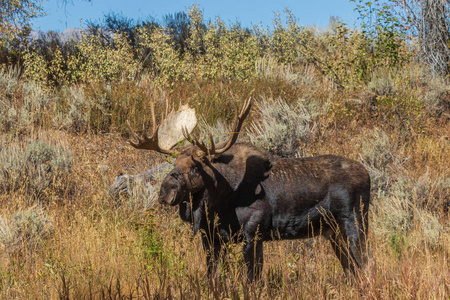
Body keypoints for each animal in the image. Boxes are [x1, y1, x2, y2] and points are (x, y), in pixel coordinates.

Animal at [127, 99, 370, 282]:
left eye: (196, 166)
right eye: (174, 163)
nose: (165, 192)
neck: (217, 204)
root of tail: (368, 175)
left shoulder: (253, 232)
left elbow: (251, 279)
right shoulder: (211, 237)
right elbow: (213, 277)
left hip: (355, 222)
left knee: (364, 264)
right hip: (333, 232)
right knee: (351, 268)